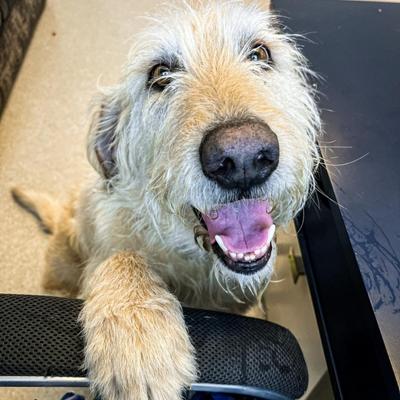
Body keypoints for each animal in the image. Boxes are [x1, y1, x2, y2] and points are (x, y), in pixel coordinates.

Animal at [11, 0, 318, 400]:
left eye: (260, 53)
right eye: (159, 74)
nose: (243, 157)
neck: (193, 258)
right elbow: (121, 256)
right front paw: (136, 325)